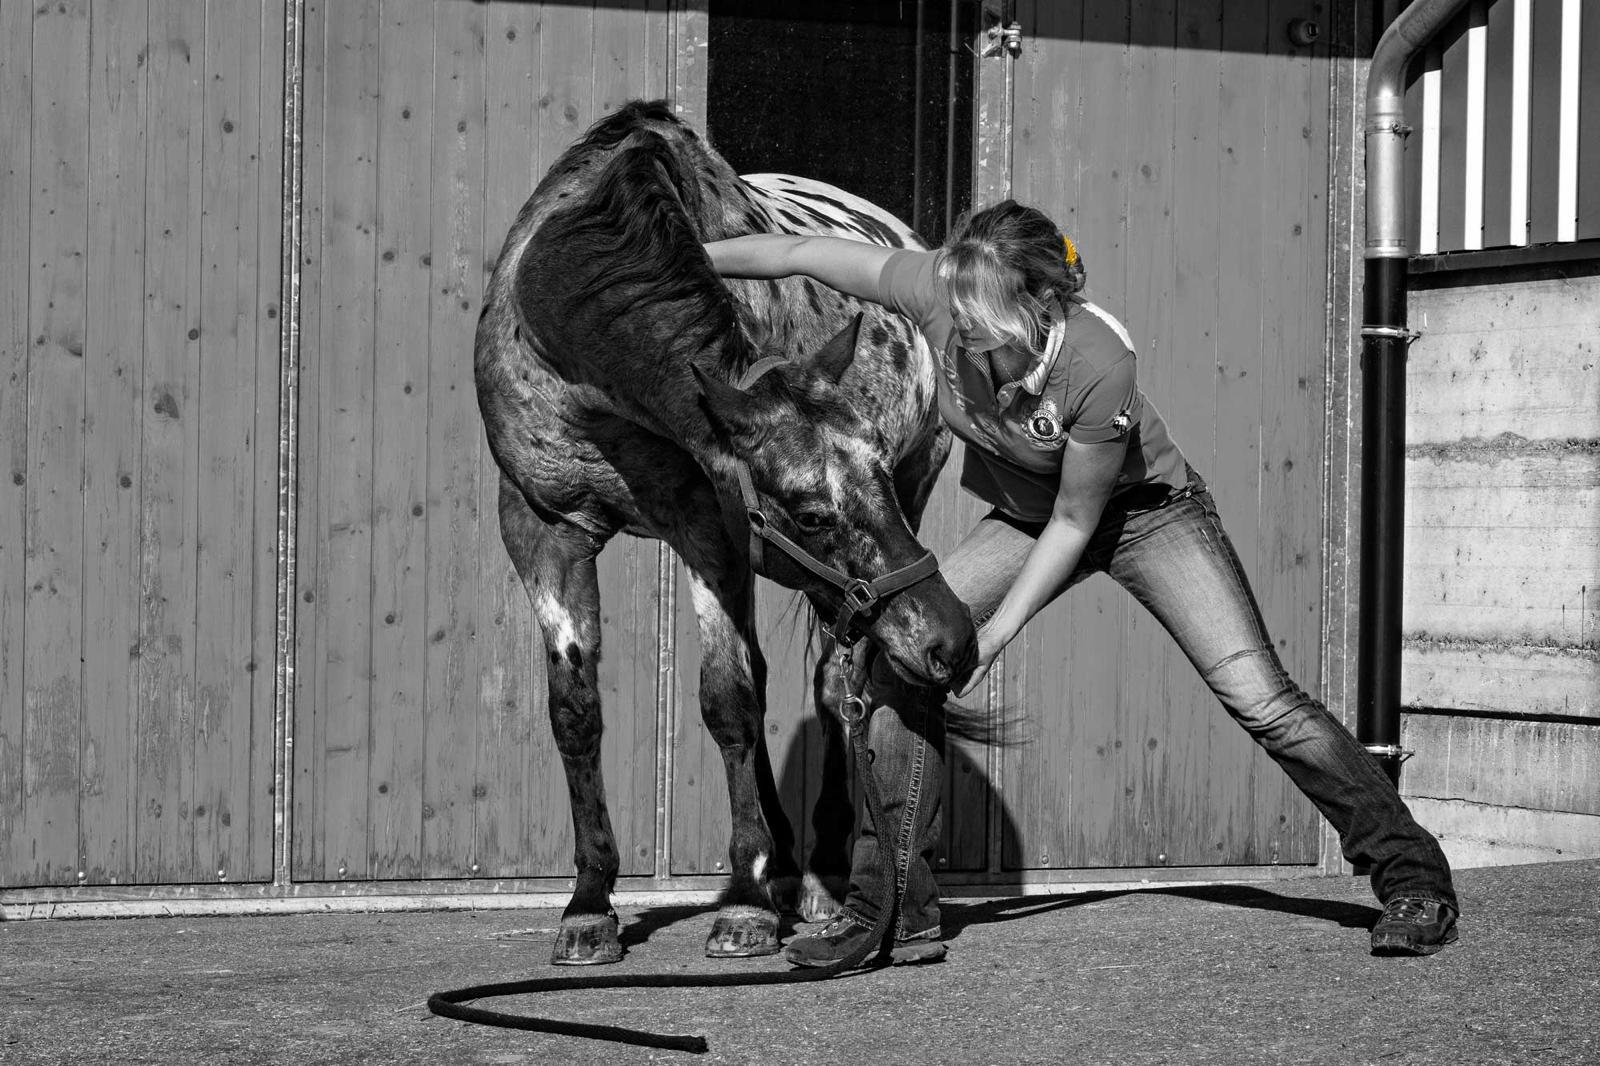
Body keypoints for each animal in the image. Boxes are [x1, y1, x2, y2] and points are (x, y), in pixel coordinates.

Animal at [474, 100, 975, 965]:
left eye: (874, 479)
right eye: (810, 513)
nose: (952, 639)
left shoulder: (711, 524)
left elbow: (728, 701)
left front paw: (743, 901)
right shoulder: (542, 527)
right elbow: (576, 711)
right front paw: (590, 902)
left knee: (835, 682)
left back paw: (819, 878)